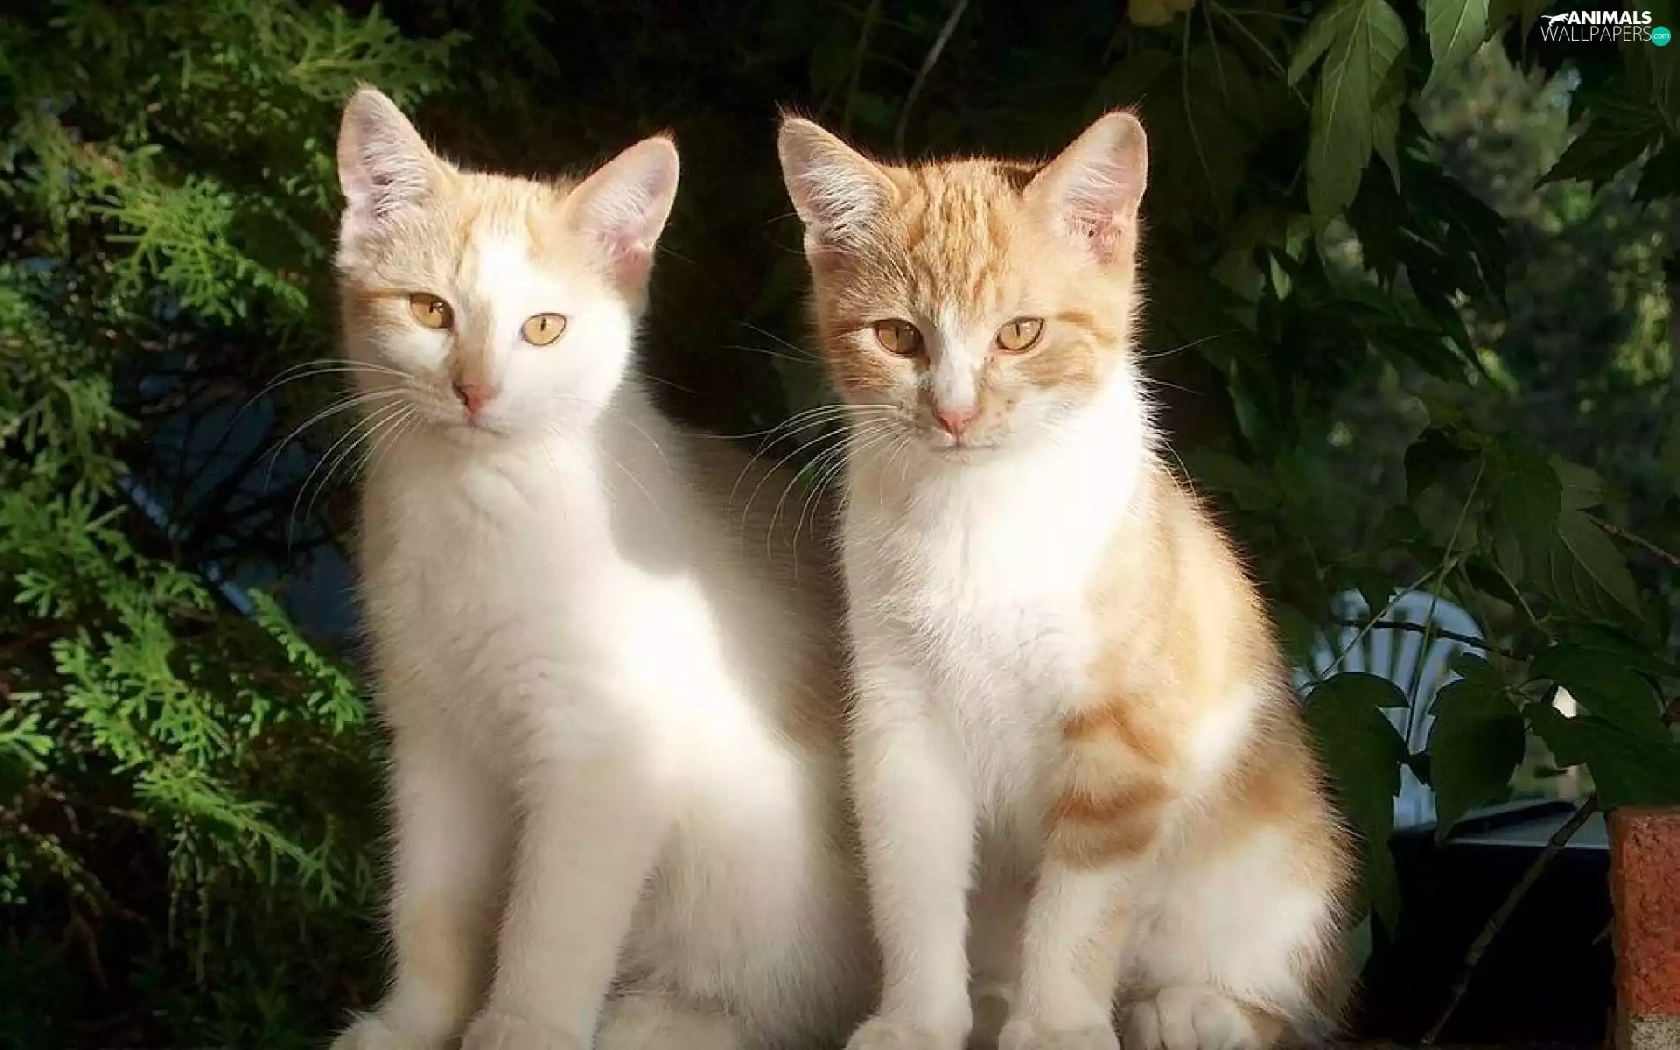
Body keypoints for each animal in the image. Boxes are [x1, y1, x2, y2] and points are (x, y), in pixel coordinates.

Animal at [328, 87, 873, 1050]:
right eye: (430, 311)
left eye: (544, 328)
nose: (475, 390)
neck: (479, 509)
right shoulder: (435, 739)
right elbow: (432, 904)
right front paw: (412, 1022)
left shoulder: (604, 754)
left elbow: (552, 925)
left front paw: (517, 1031)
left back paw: (661, 1020)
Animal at [775, 112, 1355, 1050]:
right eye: (898, 336)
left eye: (1020, 333)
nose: (954, 413)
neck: (978, 517)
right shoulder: (901, 720)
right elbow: (912, 884)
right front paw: (918, 1020)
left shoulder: (1126, 744)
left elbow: (1079, 908)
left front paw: (1054, 1026)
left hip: (1278, 862)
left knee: (1285, 996)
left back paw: (1196, 1008)